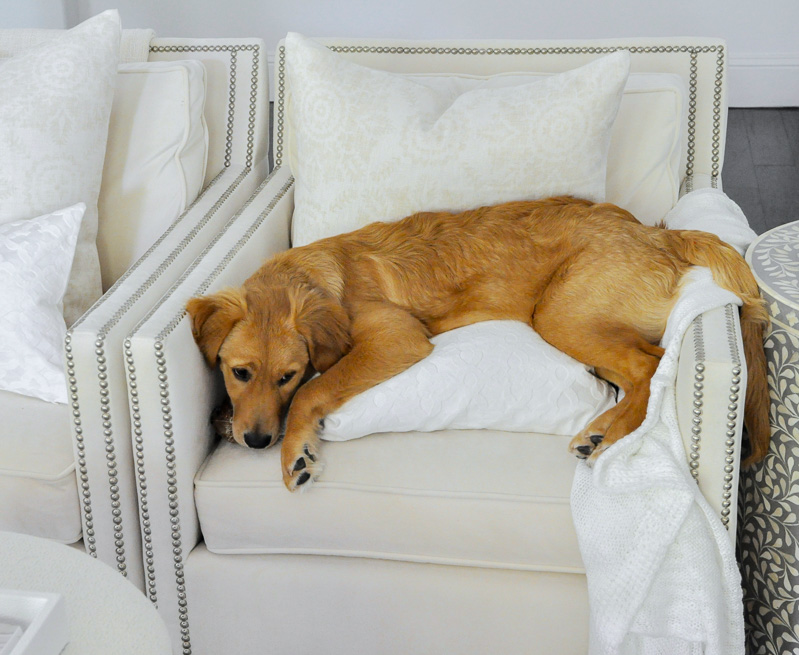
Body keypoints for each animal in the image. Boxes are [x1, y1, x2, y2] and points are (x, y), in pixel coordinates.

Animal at [186, 199, 768, 492]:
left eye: (286, 375)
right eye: (239, 373)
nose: (257, 441)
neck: (316, 278)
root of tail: (660, 232)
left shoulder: (398, 338)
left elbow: (317, 388)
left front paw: (296, 453)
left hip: (560, 314)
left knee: (651, 365)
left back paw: (603, 433)